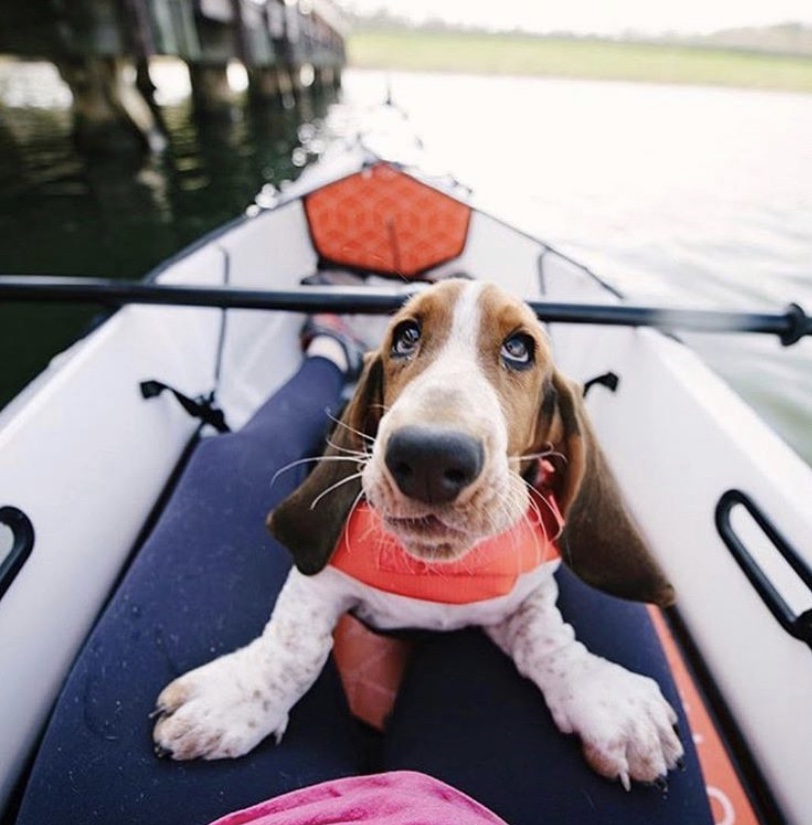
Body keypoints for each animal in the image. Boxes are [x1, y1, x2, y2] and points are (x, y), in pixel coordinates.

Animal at [154, 278, 684, 792]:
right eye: (406, 336)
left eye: (519, 348)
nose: (430, 455)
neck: (436, 568)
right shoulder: (319, 576)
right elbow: (294, 648)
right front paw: (231, 701)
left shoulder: (525, 593)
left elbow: (548, 638)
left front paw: (607, 700)